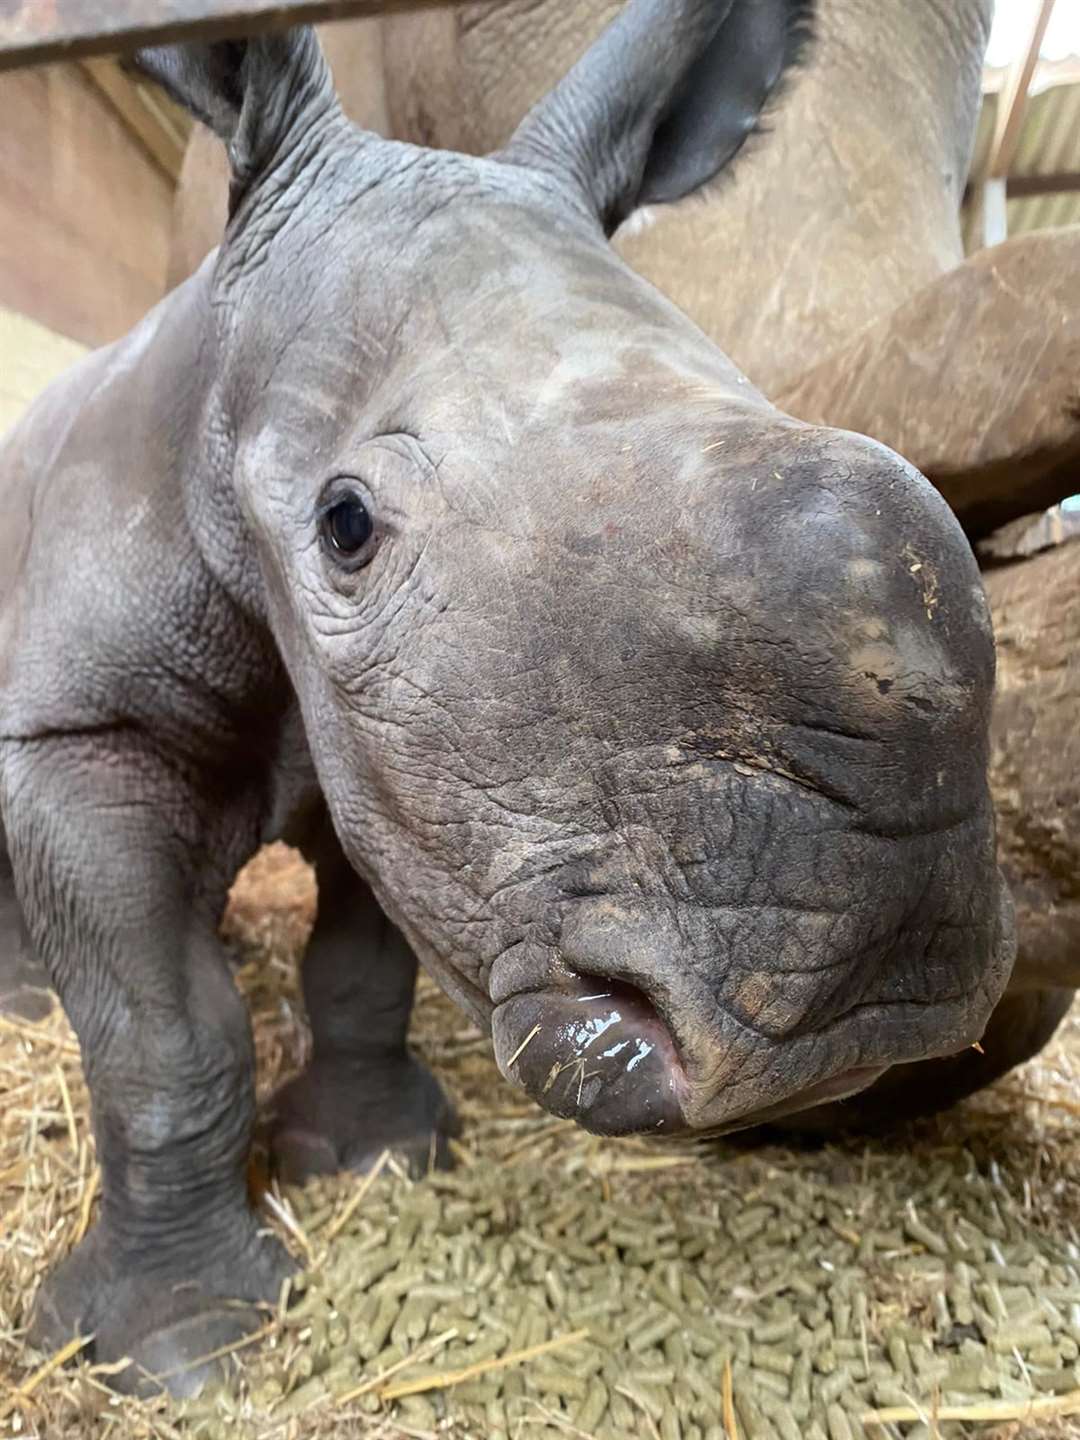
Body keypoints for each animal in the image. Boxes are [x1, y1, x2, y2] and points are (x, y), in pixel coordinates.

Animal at [0, 0, 1013, 1399]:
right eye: (347, 527)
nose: (883, 1002)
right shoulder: (85, 727)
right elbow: (166, 1038)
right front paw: (180, 1349)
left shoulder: (400, 758)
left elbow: (366, 956)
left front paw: (375, 1157)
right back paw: (29, 1007)